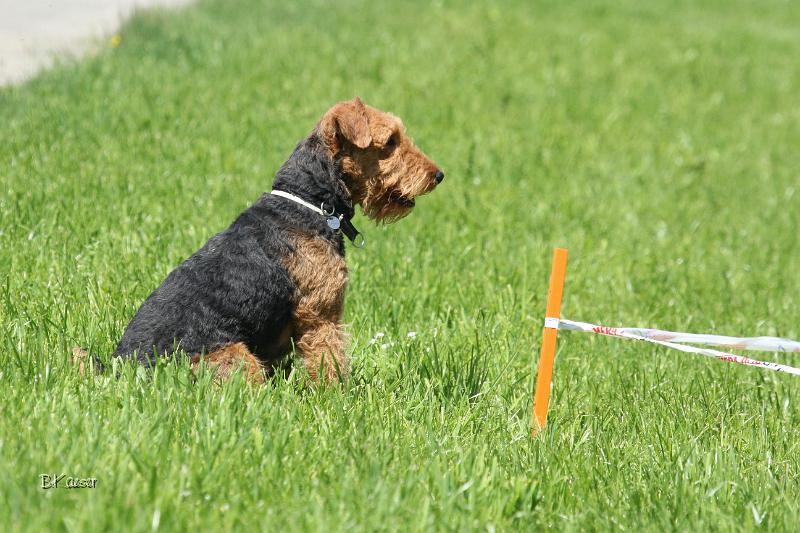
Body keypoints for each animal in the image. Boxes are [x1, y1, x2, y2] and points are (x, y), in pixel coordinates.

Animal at [75, 97, 443, 383]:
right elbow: (329, 360)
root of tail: (121, 372)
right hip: (238, 358)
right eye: (390, 141)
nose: (437, 175)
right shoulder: (321, 316)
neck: (308, 200)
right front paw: (338, 399)